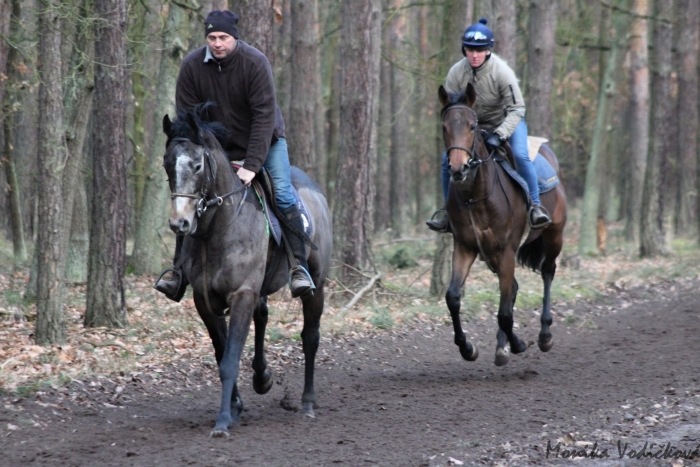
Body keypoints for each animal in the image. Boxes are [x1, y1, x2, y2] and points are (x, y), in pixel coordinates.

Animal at [163, 109, 332, 438]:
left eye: (197, 165)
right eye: (167, 164)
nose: (180, 224)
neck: (217, 229)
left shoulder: (241, 293)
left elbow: (229, 360)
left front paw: (222, 421)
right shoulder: (205, 300)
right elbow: (221, 352)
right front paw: (236, 406)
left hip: (317, 283)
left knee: (310, 336)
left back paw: (307, 402)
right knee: (263, 316)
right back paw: (262, 377)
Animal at [440, 86, 568, 368]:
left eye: (472, 125)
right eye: (444, 126)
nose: (458, 168)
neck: (475, 195)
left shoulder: (506, 249)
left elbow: (505, 313)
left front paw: (519, 344)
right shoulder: (465, 247)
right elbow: (453, 297)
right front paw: (468, 348)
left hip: (554, 234)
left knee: (547, 271)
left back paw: (544, 335)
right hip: (492, 256)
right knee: (511, 290)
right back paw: (502, 347)